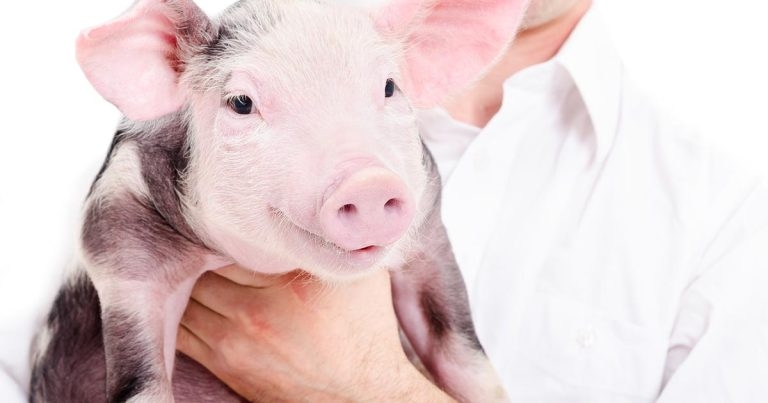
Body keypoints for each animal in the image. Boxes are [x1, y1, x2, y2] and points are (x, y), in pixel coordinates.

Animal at [29, 0, 528, 402]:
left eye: (389, 87)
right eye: (241, 103)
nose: (366, 181)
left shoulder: (428, 229)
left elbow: (465, 355)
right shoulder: (118, 247)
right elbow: (141, 385)